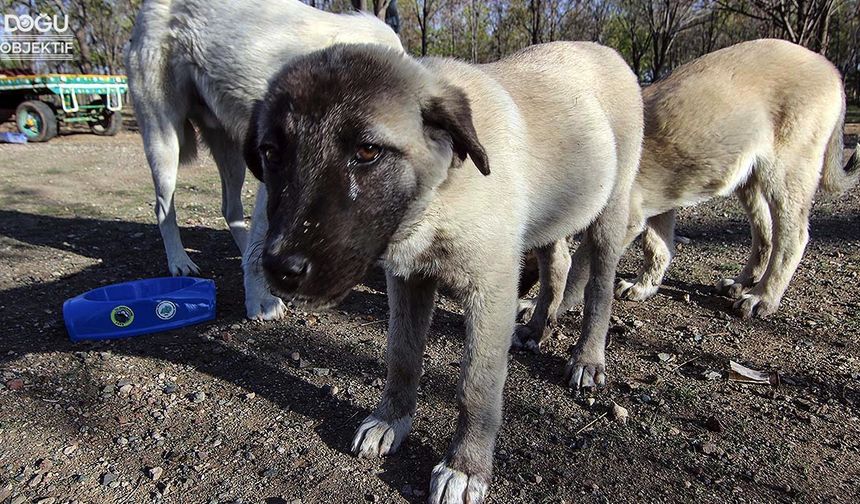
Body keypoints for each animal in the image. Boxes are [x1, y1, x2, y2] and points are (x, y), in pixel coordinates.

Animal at [124, 0, 404, 318]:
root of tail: (149, 7)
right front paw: (262, 301)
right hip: (164, 142)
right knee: (163, 208)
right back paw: (180, 261)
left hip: (233, 155)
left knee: (230, 209)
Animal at [240, 42, 640, 504]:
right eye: (271, 152)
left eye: (368, 151)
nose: (280, 268)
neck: (436, 196)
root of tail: (602, 48)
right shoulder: (407, 280)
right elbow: (402, 356)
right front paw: (390, 420)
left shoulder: (492, 290)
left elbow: (477, 387)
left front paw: (465, 466)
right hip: (551, 219)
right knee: (557, 264)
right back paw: (536, 328)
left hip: (610, 214)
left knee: (599, 291)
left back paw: (587, 358)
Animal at [512, 38, 856, 350]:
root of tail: (829, 66)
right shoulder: (657, 209)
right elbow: (658, 248)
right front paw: (644, 287)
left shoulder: (622, 221)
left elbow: (579, 271)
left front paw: (546, 307)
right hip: (749, 181)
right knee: (766, 234)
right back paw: (742, 282)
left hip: (784, 175)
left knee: (792, 238)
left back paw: (762, 297)